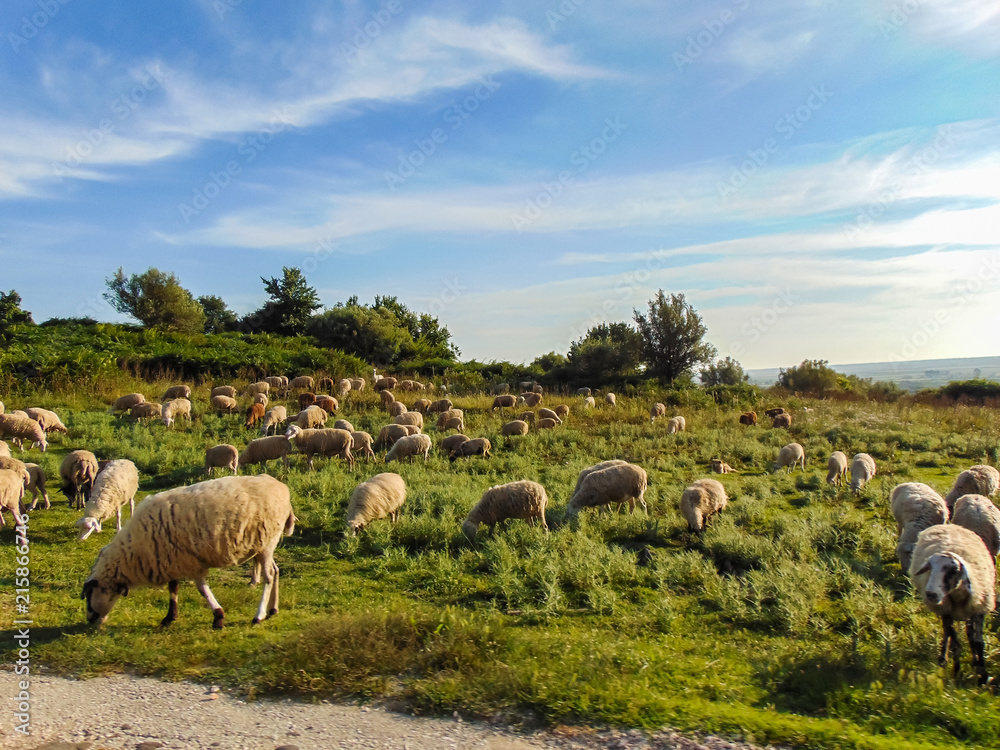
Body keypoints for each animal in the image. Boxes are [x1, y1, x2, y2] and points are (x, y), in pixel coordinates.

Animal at [82, 474, 295, 628]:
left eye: (90, 594)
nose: (90, 621)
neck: (134, 552)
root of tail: (282, 488)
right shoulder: (171, 558)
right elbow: (173, 587)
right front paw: (170, 617)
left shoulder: (190, 562)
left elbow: (202, 589)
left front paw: (218, 617)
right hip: (264, 545)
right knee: (276, 571)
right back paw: (273, 610)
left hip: (267, 541)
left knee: (268, 577)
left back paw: (259, 615)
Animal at [909, 524, 996, 684]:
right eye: (930, 568)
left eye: (953, 570)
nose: (930, 594)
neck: (957, 595)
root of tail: (949, 524)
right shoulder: (947, 611)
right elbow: (955, 644)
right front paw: (957, 672)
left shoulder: (978, 608)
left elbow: (978, 642)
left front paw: (983, 675)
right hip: (944, 611)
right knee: (947, 632)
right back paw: (943, 659)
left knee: (969, 633)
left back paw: (974, 662)